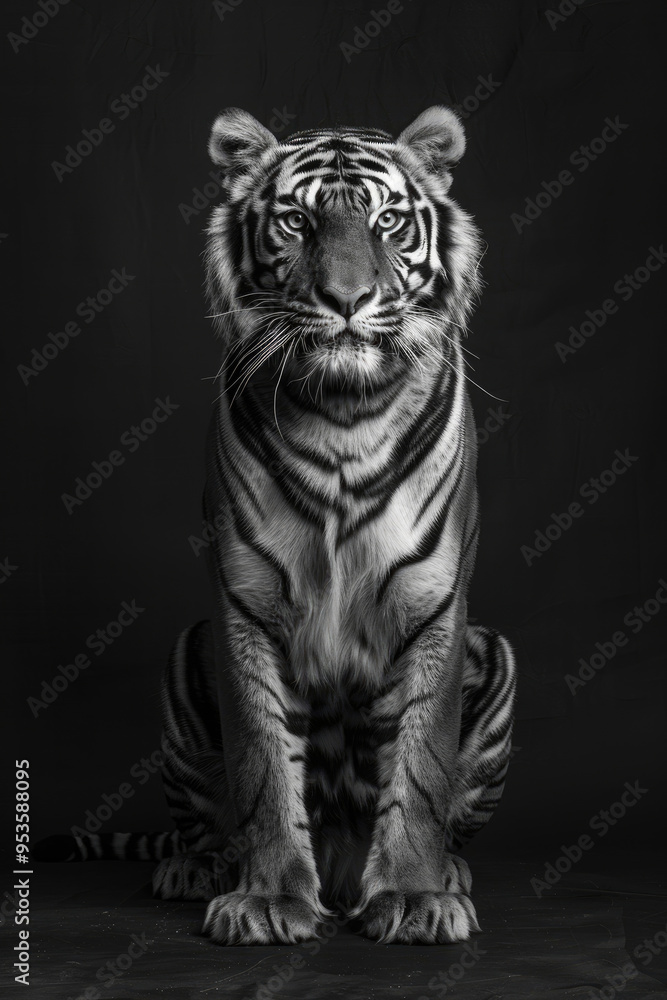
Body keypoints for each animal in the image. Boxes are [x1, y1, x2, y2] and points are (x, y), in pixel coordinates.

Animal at [151, 104, 517, 946]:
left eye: (386, 223)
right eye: (297, 221)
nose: (346, 299)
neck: (343, 412)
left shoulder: (432, 609)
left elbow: (419, 766)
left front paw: (414, 897)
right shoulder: (243, 606)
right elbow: (260, 768)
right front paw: (266, 900)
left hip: (497, 654)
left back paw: (446, 872)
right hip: (186, 654)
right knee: (201, 823)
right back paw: (193, 869)